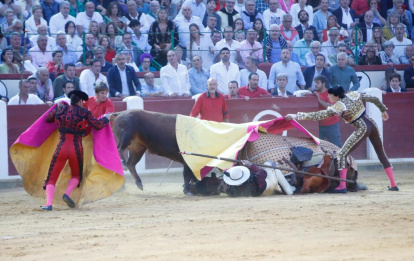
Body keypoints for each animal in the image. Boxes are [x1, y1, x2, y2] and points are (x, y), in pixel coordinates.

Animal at [113, 108, 360, 194]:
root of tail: (120, 114)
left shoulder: (187, 161)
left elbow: (187, 174)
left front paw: (189, 189)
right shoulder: (187, 161)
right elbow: (187, 174)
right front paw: (189, 189)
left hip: (138, 146)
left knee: (132, 163)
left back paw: (138, 182)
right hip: (126, 137)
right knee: (119, 151)